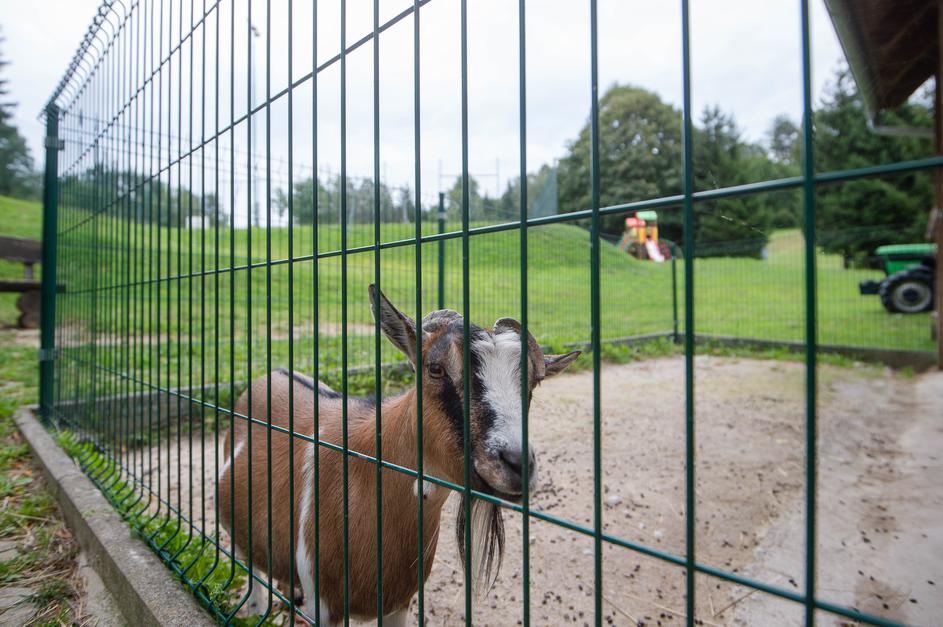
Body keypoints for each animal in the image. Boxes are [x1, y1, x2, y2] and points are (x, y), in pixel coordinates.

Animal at [218, 288, 580, 624]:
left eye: (534, 381)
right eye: (434, 369)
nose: (517, 463)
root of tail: (271, 374)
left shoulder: (399, 603)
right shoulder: (323, 603)